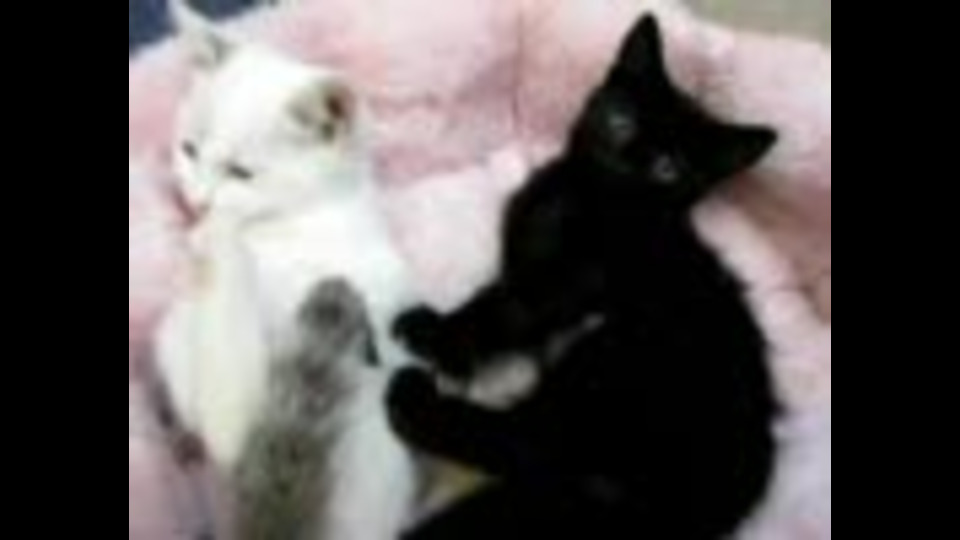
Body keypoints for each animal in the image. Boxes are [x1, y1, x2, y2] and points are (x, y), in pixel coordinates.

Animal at [156, 2, 422, 538]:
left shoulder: (244, 413)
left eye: (240, 173)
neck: (306, 218)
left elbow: (225, 413)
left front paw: (212, 236)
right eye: (189, 149)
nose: (197, 202)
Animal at [387, 15, 780, 540]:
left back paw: (412, 400)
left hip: (613, 361)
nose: (627, 158)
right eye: (621, 122)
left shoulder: (566, 282)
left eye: (668, 168)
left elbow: (499, 310)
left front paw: (438, 339)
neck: (581, 193)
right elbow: (493, 296)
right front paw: (441, 330)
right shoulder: (522, 266)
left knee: (527, 444)